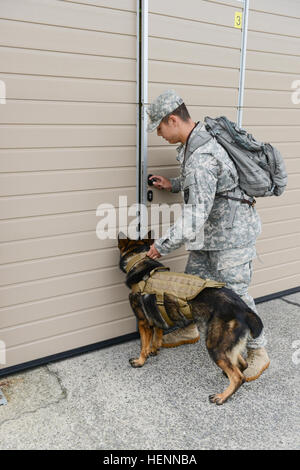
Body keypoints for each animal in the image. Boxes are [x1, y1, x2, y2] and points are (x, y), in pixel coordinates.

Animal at [117, 231, 262, 404]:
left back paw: (222, 397)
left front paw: (140, 360)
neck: (139, 259)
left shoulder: (143, 322)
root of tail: (244, 309)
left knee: (239, 377)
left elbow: (143, 345)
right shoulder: (156, 314)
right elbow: (157, 334)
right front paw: (154, 349)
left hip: (214, 345)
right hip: (225, 344)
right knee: (242, 363)